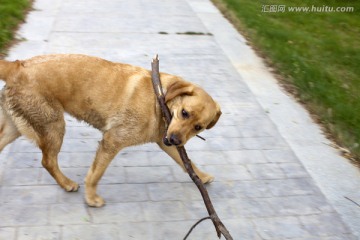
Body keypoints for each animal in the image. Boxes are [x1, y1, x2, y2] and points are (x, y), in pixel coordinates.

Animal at [0, 54, 219, 206]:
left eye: (198, 127)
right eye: (184, 113)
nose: (175, 140)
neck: (159, 99)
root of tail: (17, 65)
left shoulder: (165, 142)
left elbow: (187, 163)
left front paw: (202, 177)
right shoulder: (112, 141)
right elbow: (96, 173)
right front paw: (91, 198)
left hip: (17, 127)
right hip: (53, 126)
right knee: (48, 161)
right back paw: (67, 183)